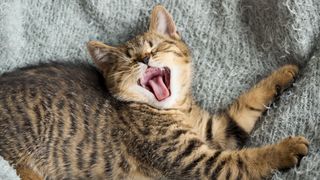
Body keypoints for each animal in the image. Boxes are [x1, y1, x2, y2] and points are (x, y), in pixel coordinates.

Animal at [0, 4, 310, 179]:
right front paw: (286, 149)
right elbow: (247, 161)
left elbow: (245, 107)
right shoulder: (195, 161)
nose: (145, 59)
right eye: (129, 60)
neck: (176, 109)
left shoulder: (215, 130)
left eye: (155, 46)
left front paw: (283, 73)